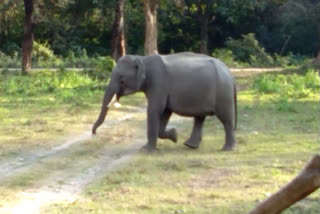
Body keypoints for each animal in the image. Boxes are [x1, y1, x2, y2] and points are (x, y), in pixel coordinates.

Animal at [91, 52, 236, 152]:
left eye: (121, 78)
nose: (94, 134)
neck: (143, 59)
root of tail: (229, 72)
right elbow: (165, 111)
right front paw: (174, 136)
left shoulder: (158, 82)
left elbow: (155, 109)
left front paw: (146, 150)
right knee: (200, 118)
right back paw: (190, 145)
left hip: (223, 93)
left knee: (226, 119)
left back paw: (227, 149)